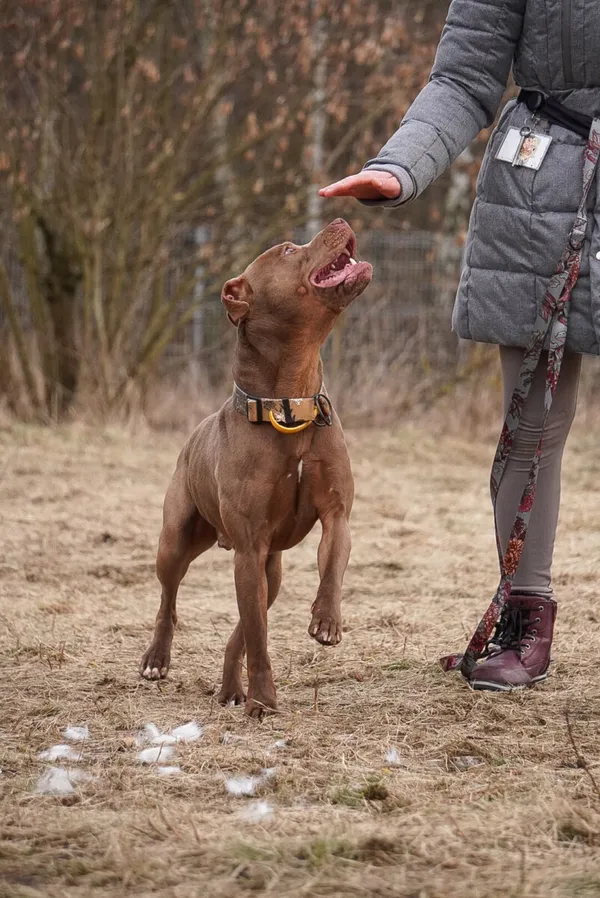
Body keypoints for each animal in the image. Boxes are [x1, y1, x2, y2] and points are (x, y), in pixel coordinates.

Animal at [141, 220, 372, 716]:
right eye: (286, 250)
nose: (341, 221)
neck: (290, 404)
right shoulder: (248, 548)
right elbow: (259, 639)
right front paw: (264, 700)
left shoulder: (335, 516)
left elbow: (332, 566)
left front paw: (326, 621)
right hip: (178, 541)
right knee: (170, 599)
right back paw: (157, 658)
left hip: (271, 570)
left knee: (241, 632)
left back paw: (231, 688)